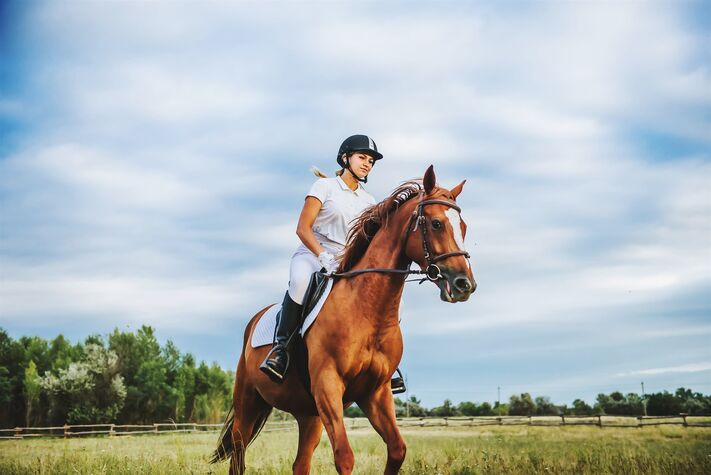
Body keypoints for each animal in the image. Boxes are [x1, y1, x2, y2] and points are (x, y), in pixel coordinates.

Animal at [211, 165, 476, 474]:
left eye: (463, 227)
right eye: (436, 223)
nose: (464, 284)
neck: (367, 311)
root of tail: (254, 320)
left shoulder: (375, 392)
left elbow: (397, 450)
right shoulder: (329, 385)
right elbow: (345, 457)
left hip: (309, 414)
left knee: (300, 463)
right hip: (248, 402)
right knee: (238, 452)